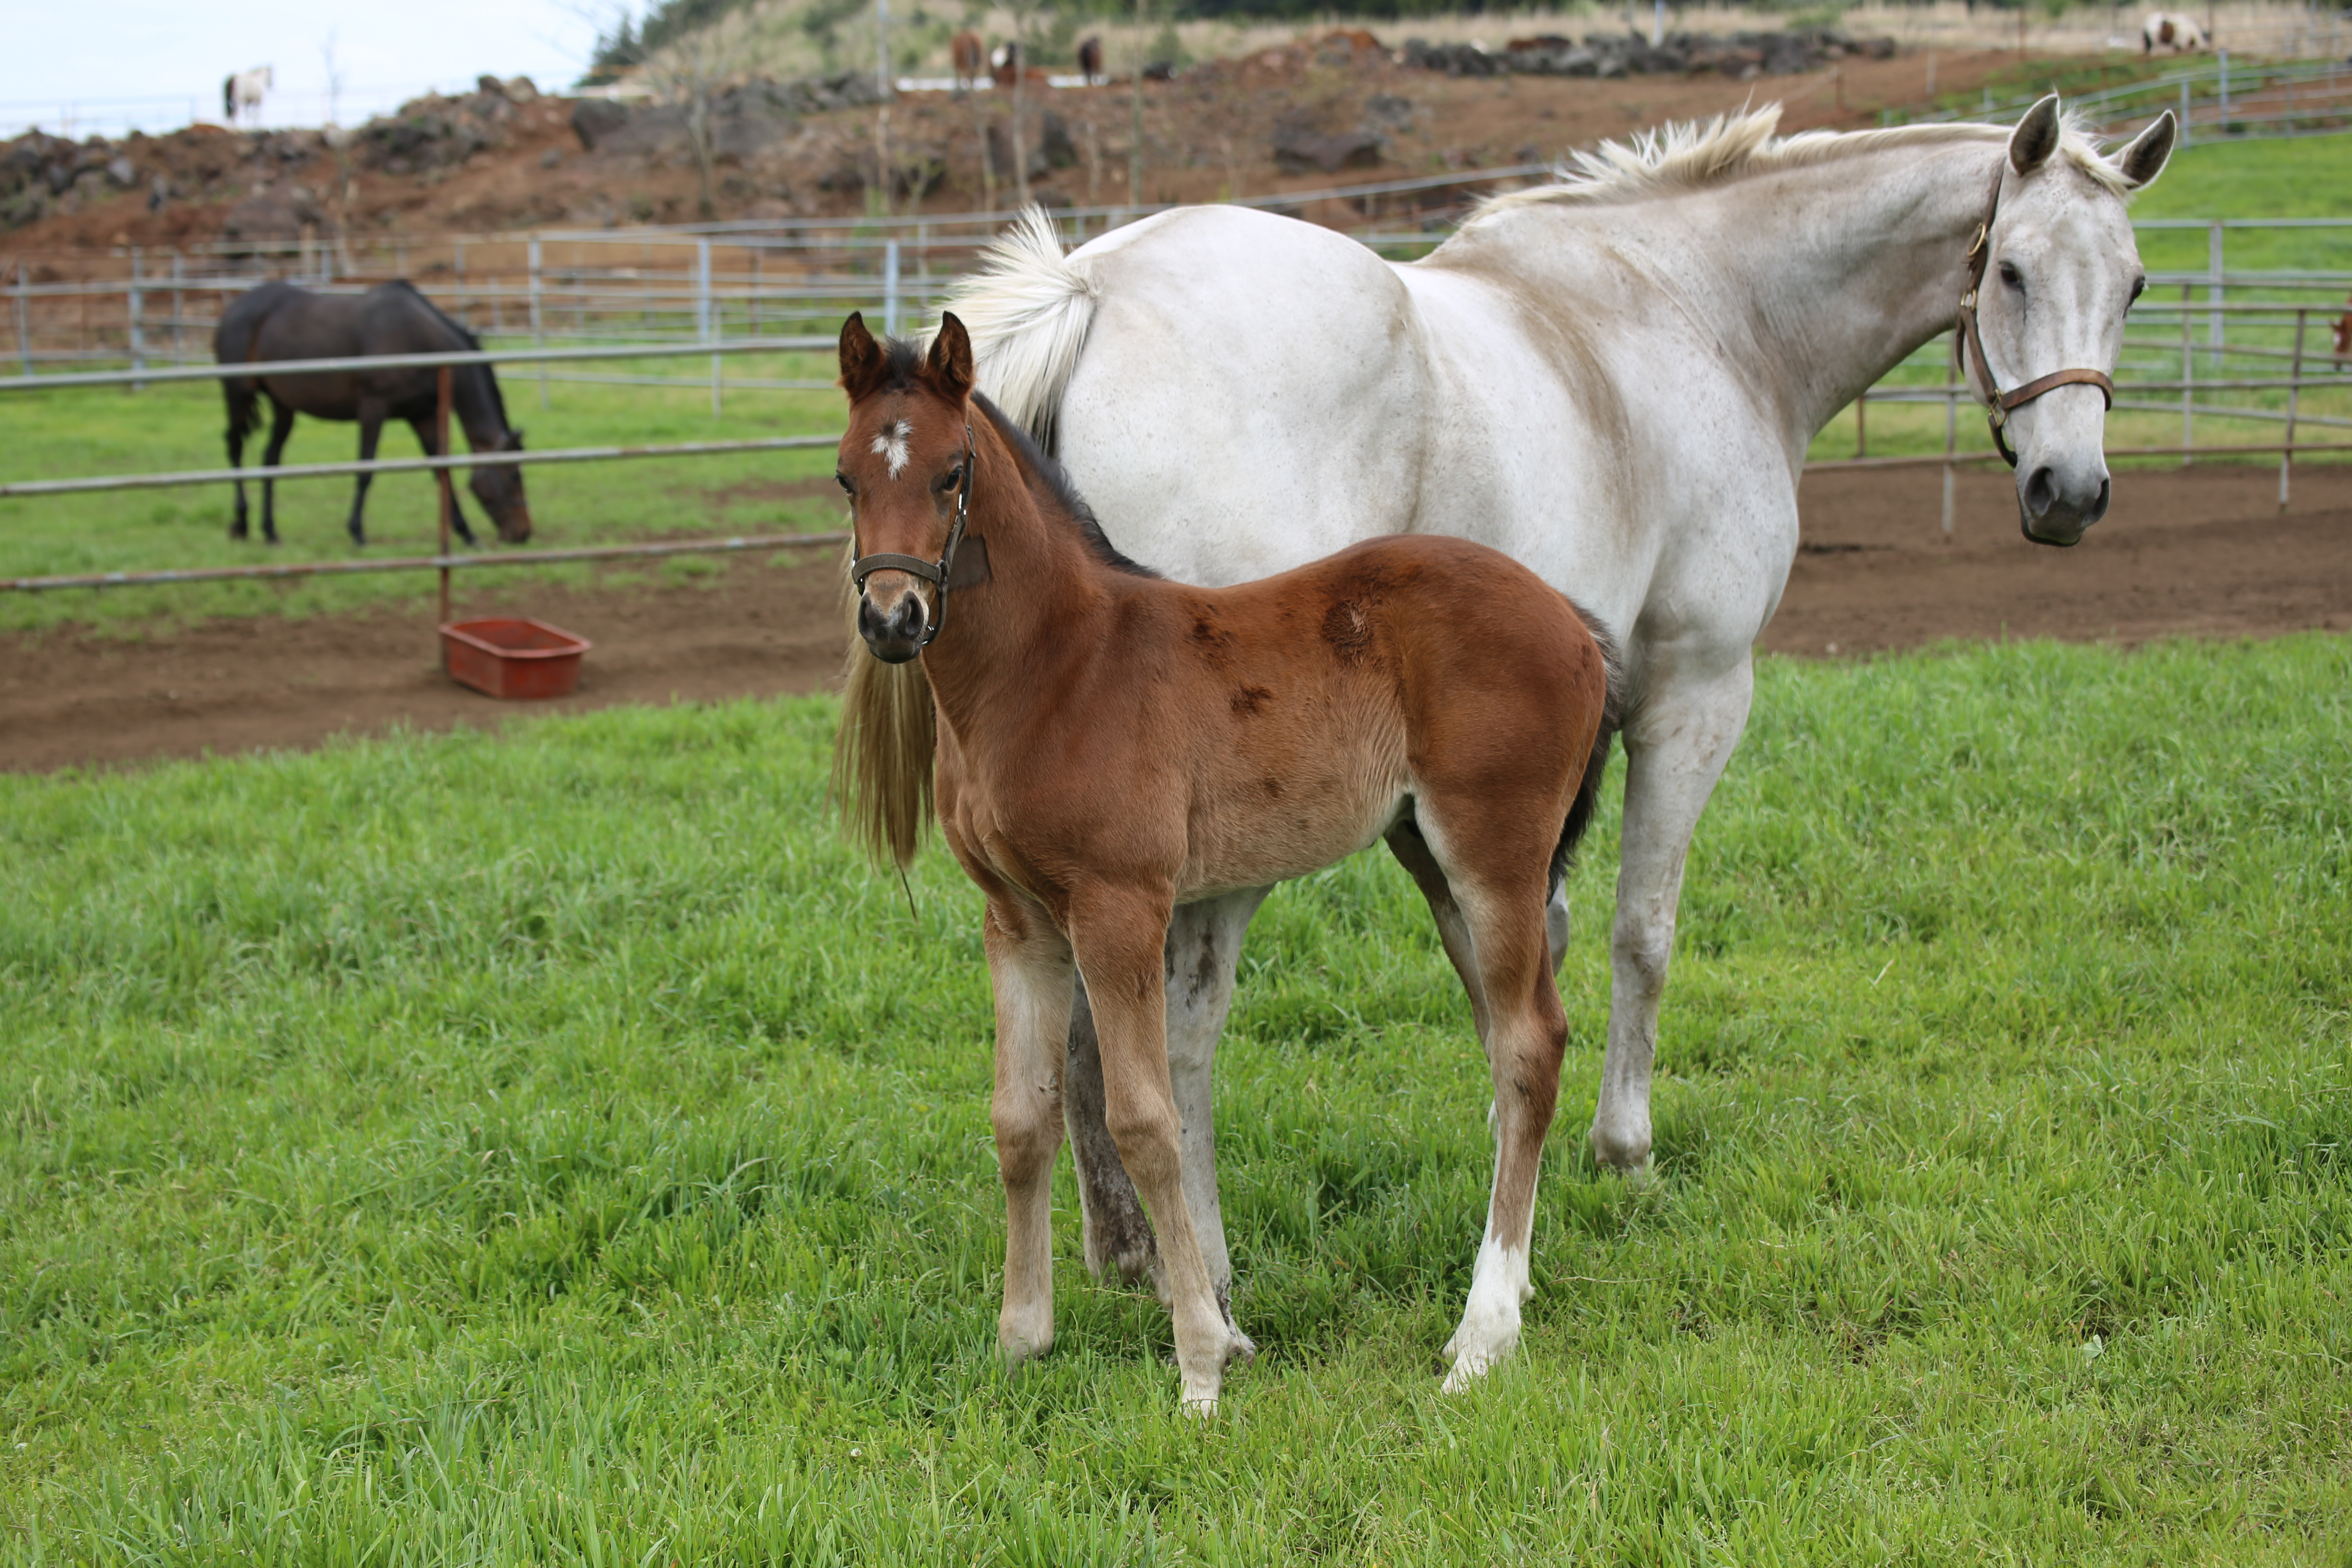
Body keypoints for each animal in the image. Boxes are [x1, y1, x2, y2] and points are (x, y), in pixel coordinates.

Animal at [215, 278, 534, 550]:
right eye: (513, 476)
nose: (522, 533)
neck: (419, 341)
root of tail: (233, 309)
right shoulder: (373, 408)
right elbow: (366, 470)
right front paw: (357, 533)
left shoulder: (424, 416)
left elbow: (442, 471)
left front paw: (467, 533)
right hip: (239, 395)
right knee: (235, 447)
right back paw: (241, 523)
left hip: (284, 407)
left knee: (270, 459)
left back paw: (270, 531)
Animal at [221, 66, 272, 127]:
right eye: (271, 74)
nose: (271, 84)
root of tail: (232, 79)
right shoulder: (258, 101)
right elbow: (256, 113)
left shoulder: (248, 101)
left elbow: (248, 113)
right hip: (238, 99)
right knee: (234, 112)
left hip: (229, 98)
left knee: (229, 112)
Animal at [837, 312, 1627, 1420]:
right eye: (845, 477)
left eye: (953, 472)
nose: (891, 620)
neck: (1054, 667)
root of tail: (1572, 617)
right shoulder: (1017, 920)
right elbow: (1019, 1117)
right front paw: (1020, 1342)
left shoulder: (1119, 904)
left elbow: (1142, 1117)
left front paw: (1202, 1363)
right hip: (1433, 859)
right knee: (1513, 1042)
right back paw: (1509, 1296)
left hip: (1494, 853)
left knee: (1527, 1045)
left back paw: (1479, 1338)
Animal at [931, 104, 2164, 1392]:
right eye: (2010, 270)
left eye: (2133, 282)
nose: (2069, 491)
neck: (1698, 311)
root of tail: (1088, 288)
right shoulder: (1693, 696)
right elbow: (1639, 934)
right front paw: (1619, 1151)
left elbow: (1520, 958)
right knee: (1184, 1033)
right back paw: (1206, 1294)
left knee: (1092, 1037)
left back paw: (1126, 1257)